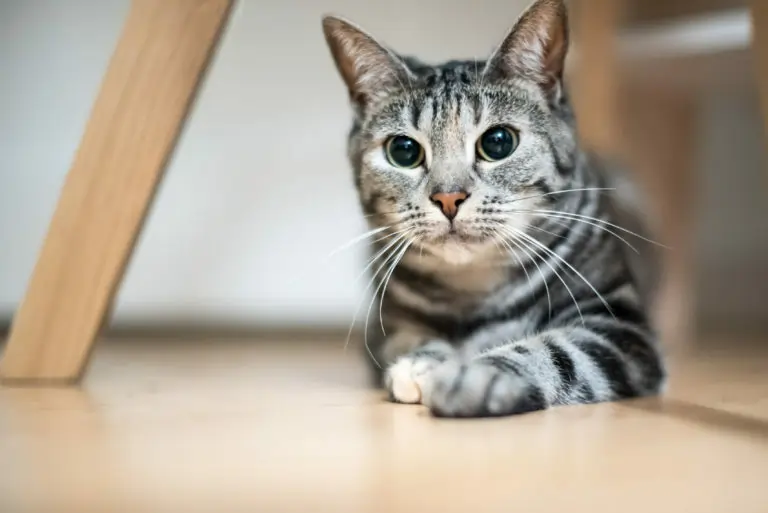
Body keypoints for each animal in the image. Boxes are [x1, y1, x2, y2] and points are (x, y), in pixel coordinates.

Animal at [320, 0, 664, 418]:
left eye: (498, 142)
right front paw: (423, 362)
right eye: (403, 151)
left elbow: (559, 351)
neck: (474, 295)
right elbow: (408, 339)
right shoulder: (387, 327)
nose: (448, 197)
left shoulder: (621, 325)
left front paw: (477, 376)